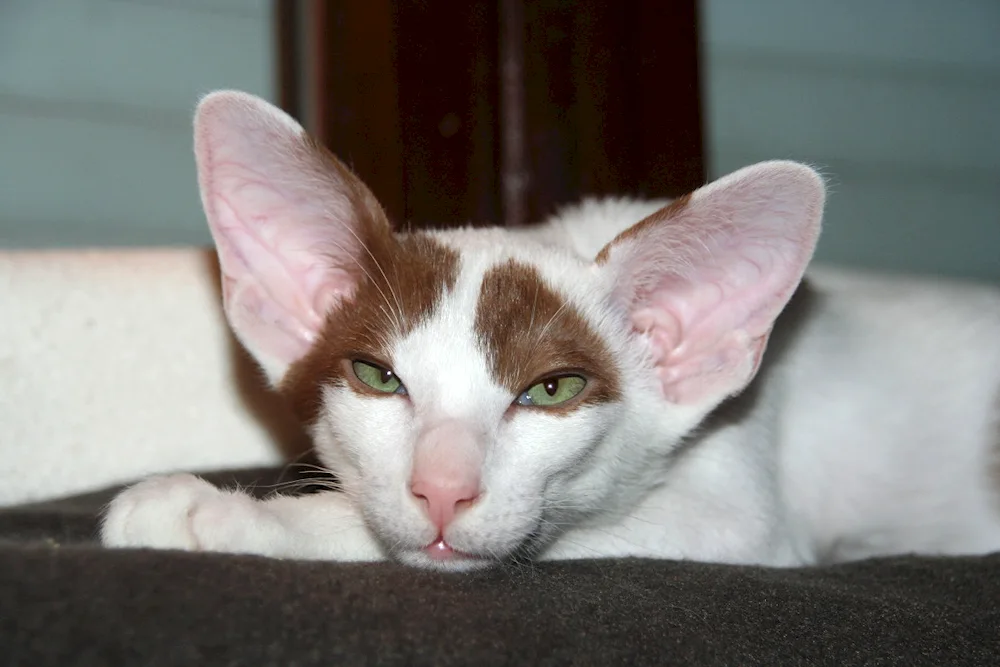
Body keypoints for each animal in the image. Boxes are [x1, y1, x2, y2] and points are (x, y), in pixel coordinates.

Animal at [99, 90, 1000, 576]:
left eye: (552, 389)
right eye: (378, 377)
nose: (442, 490)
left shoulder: (744, 522)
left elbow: (544, 540)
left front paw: (222, 513)